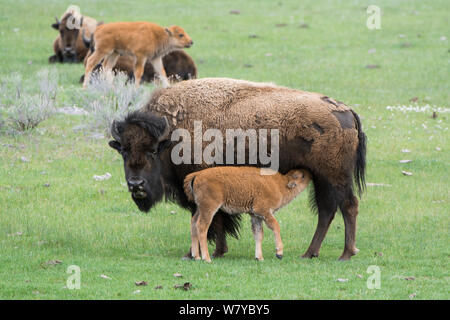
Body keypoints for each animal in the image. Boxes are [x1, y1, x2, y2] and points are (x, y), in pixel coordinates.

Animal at [108, 77, 366, 260]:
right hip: (322, 180)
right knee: (327, 211)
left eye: (153, 151)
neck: (173, 135)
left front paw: (205, 253)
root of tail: (347, 111)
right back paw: (310, 253)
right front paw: (215, 251)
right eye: (124, 151)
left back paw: (345, 254)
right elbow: (214, 219)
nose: (136, 184)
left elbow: (211, 219)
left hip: (334, 177)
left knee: (347, 206)